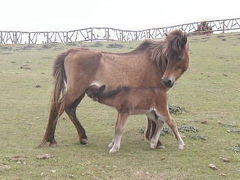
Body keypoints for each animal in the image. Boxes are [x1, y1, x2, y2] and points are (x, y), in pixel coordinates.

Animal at [39, 29, 189, 152]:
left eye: (179, 57)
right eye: (167, 56)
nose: (167, 81)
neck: (154, 62)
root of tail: (70, 52)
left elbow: (152, 118)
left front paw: (152, 140)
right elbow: (153, 120)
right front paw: (155, 142)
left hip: (80, 91)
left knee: (69, 109)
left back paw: (82, 137)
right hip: (76, 90)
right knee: (59, 107)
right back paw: (52, 139)